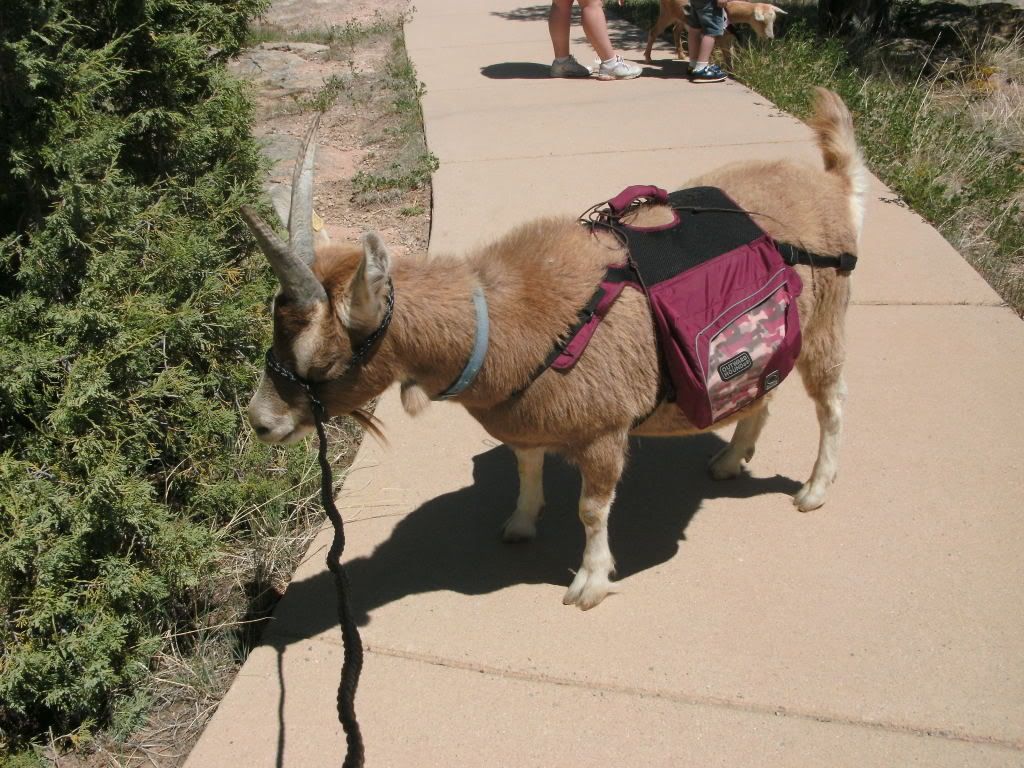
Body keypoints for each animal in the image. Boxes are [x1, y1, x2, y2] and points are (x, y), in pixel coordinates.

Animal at [241, 88, 866, 611]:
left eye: (321, 362)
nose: (261, 422)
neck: (504, 322)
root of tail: (832, 187)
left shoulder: (605, 430)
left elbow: (591, 509)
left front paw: (589, 583)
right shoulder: (529, 422)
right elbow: (526, 466)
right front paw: (520, 524)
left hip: (826, 321)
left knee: (833, 402)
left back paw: (813, 490)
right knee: (762, 395)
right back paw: (730, 461)